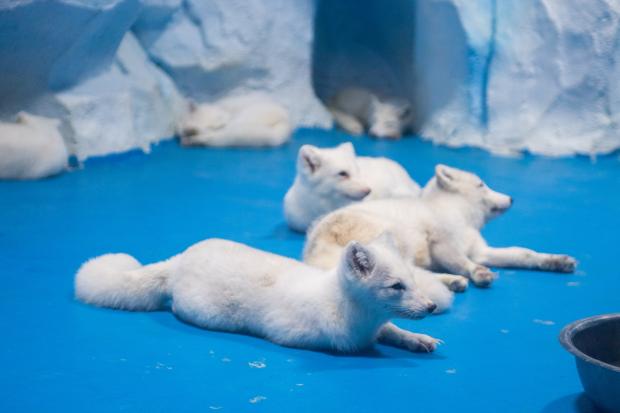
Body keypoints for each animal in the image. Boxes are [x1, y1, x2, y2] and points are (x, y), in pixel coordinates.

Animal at [75, 237, 444, 352]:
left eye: (412, 281)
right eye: (397, 287)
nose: (431, 306)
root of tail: (179, 258)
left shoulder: (378, 327)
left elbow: (394, 329)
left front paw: (418, 339)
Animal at [304, 163, 576, 286]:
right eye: (481, 185)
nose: (510, 198)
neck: (460, 217)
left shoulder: (481, 250)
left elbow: (522, 253)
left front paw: (556, 261)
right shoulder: (441, 243)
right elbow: (462, 262)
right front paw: (479, 273)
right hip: (397, 241)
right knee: (411, 273)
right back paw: (452, 281)